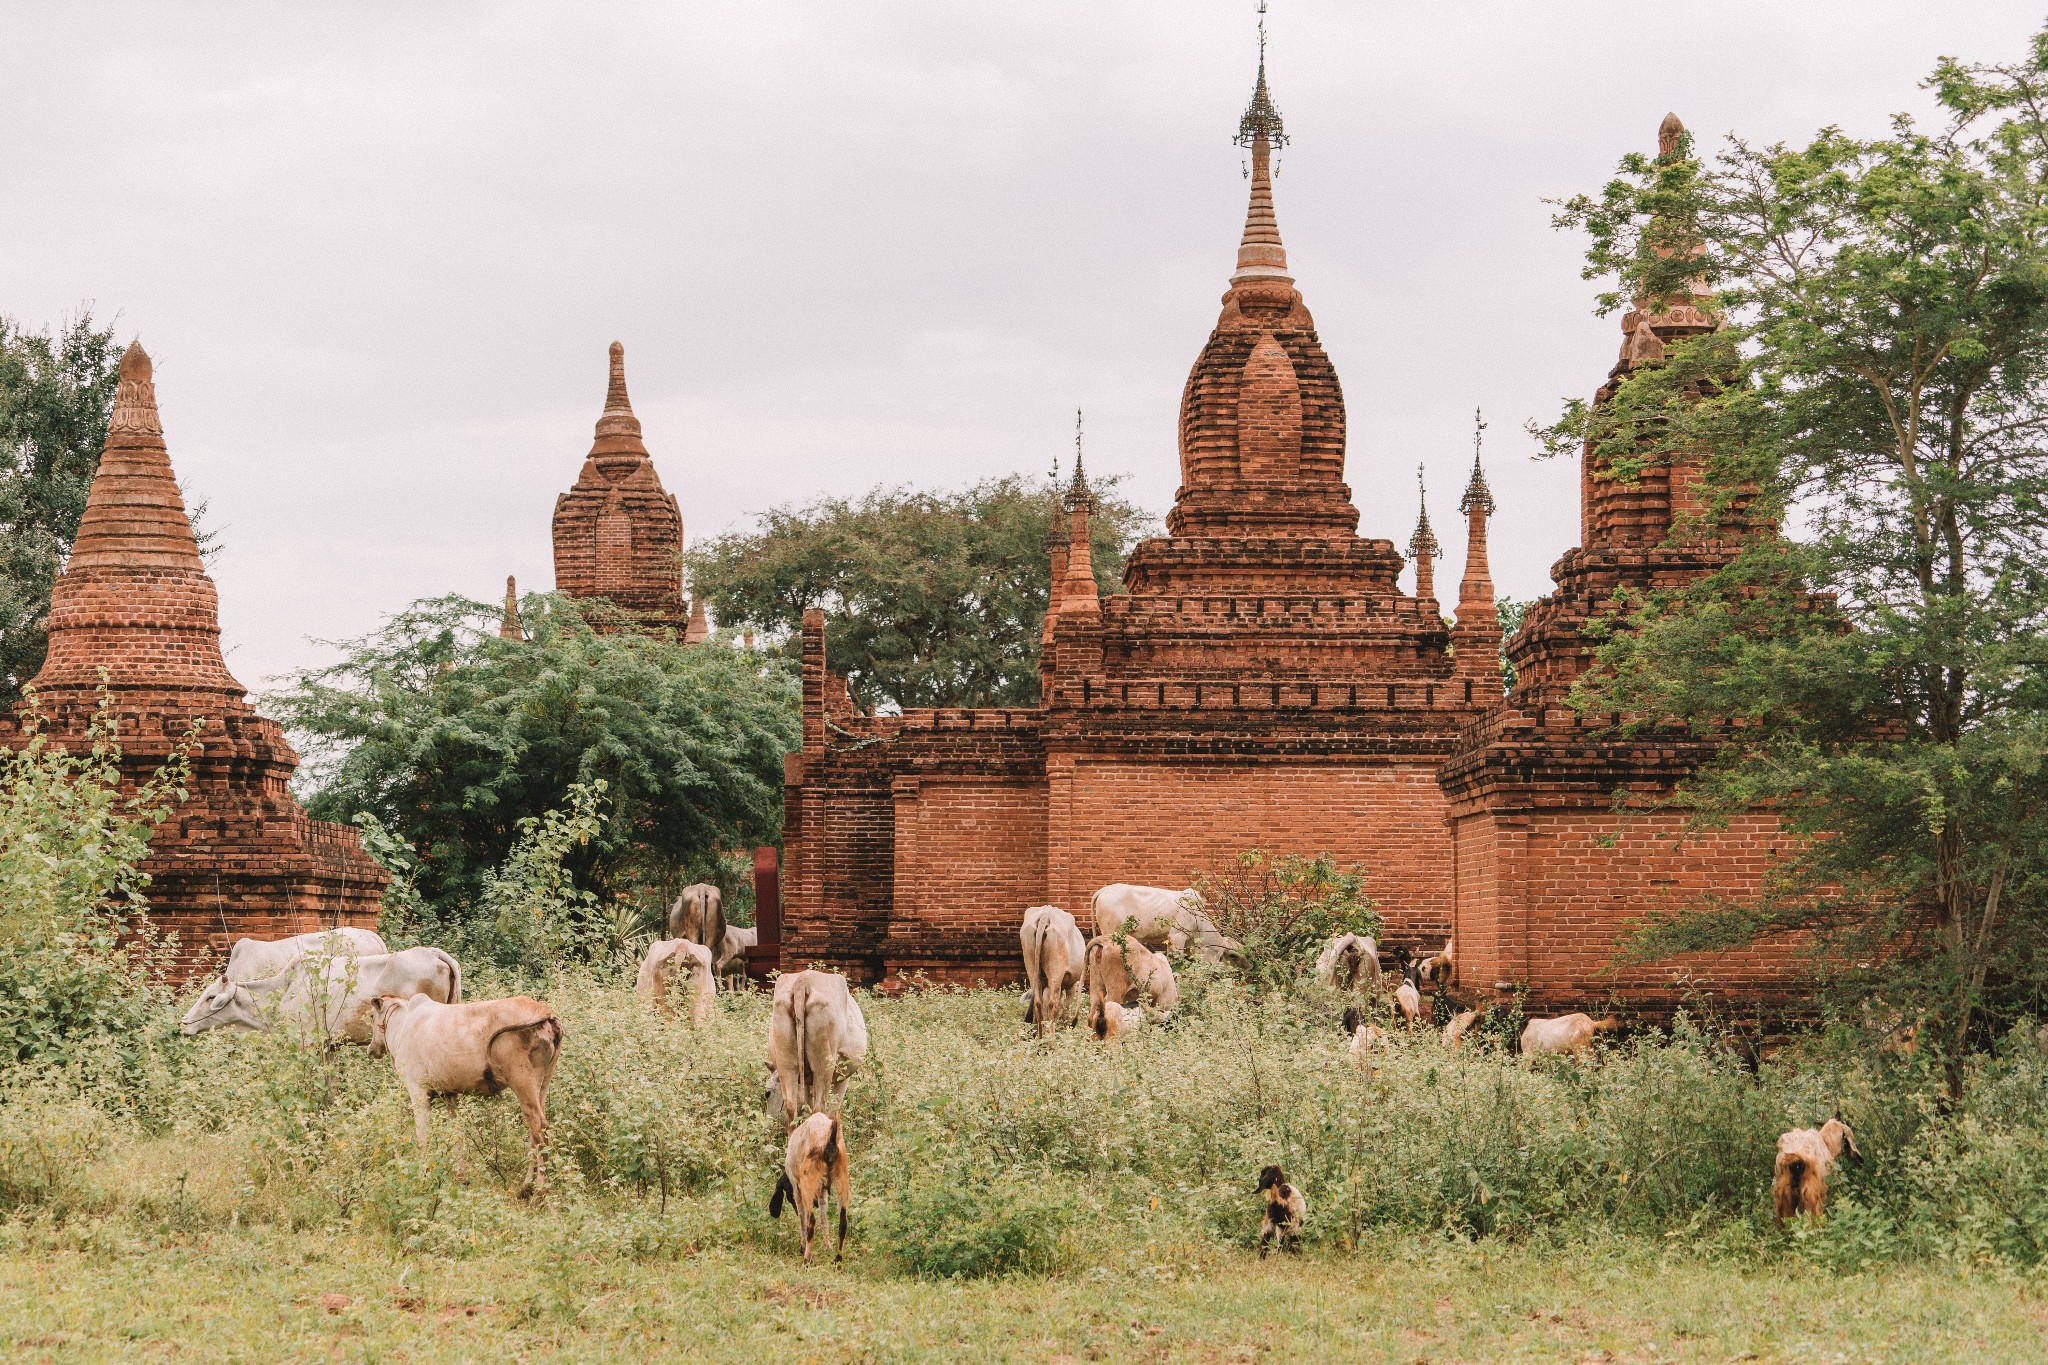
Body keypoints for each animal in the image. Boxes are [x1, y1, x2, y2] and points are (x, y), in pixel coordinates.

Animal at [366, 994, 561, 1195]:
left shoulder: (417, 1089)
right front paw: (461, 1176)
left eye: (371, 1016)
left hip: (523, 1083)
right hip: (543, 1084)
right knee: (535, 1131)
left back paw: (538, 1189)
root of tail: (546, 1012)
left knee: (538, 1129)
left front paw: (422, 1178)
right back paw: (527, 1187)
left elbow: (422, 1137)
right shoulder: (449, 1094)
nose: (371, 1049)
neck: (401, 1026)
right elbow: (457, 1133)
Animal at [765, 965, 868, 1129]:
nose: (766, 1127)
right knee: (819, 1109)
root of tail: (803, 981)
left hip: (787, 1065)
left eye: (767, 1093)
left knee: (791, 1110)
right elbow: (833, 1112)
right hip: (824, 1065)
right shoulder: (843, 1078)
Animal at [774, 1113, 856, 1268]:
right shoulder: (822, 1190)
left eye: (787, 1193)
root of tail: (830, 1138)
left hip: (808, 1183)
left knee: (810, 1221)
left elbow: (802, 1217)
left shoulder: (796, 1188)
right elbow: (824, 1218)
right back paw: (838, 1260)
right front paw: (828, 1247)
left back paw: (807, 1259)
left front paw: (802, 1246)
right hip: (842, 1179)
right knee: (843, 1222)